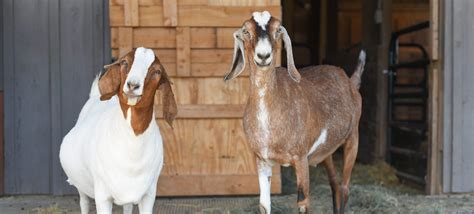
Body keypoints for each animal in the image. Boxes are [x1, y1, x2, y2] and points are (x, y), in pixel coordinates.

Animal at [224, 10, 364, 213]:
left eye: (277, 30)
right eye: (246, 31)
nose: (264, 55)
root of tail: (350, 81)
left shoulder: (301, 159)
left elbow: (303, 202)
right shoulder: (262, 160)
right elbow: (264, 204)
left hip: (353, 137)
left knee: (345, 187)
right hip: (327, 151)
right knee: (335, 184)